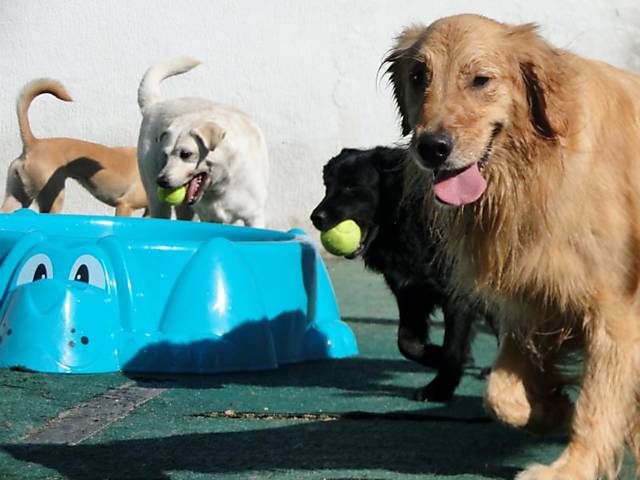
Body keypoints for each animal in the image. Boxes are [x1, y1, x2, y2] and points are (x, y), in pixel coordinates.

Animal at [138, 56, 270, 227]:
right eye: (166, 155)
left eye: (186, 154)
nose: (161, 180)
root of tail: (154, 105)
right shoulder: (209, 218)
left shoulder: (254, 216)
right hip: (158, 202)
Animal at [310, 146, 496, 402]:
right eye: (327, 185)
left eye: (351, 186)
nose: (315, 218)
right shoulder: (409, 293)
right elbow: (406, 342)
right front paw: (437, 354)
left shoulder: (458, 297)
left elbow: (453, 347)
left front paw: (439, 388)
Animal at [384, 14, 640, 480]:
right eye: (418, 77)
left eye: (481, 80)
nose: (432, 148)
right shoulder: (530, 298)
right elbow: (499, 394)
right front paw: (549, 409)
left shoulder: (616, 312)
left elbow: (597, 404)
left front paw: (571, 468)